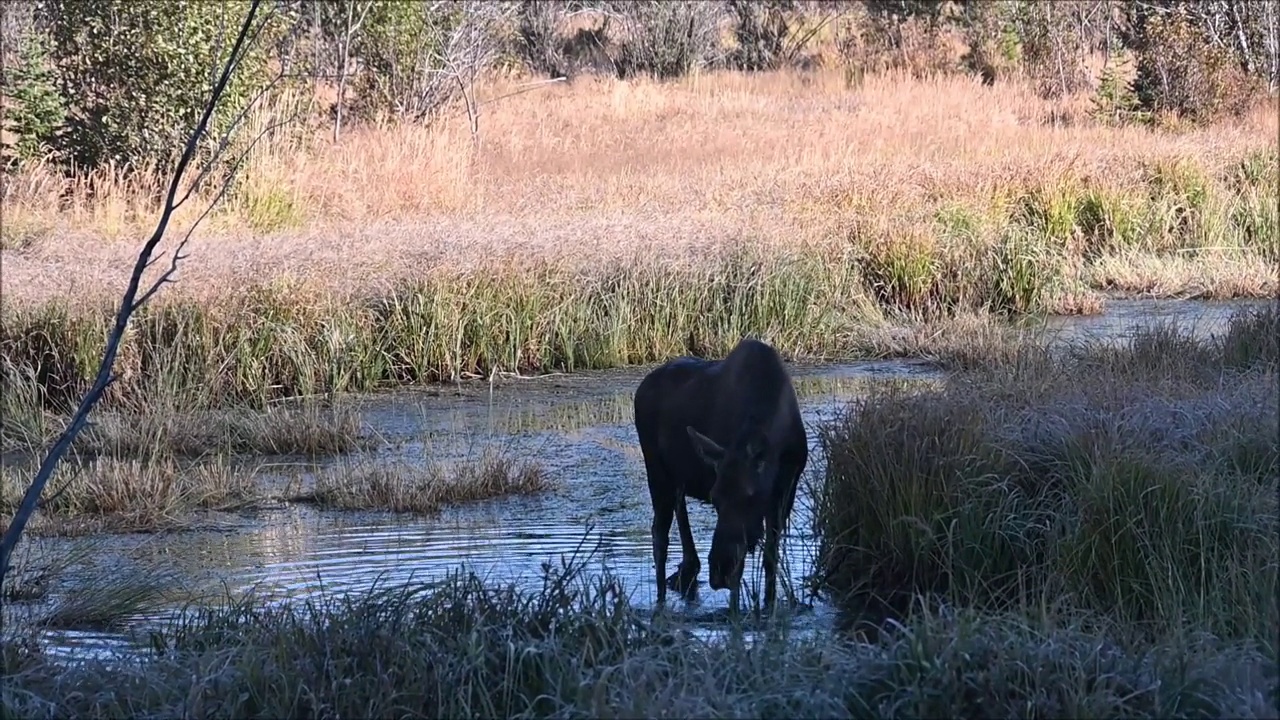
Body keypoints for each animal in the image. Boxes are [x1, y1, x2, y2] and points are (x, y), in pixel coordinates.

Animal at [632, 335, 808, 609]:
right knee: (659, 535)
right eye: (715, 497)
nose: (719, 571)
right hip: (656, 470)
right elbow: (741, 570)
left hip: (676, 477)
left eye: (751, 496)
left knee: (678, 512)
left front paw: (769, 605)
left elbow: (771, 558)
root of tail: (639, 390)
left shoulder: (785, 493)